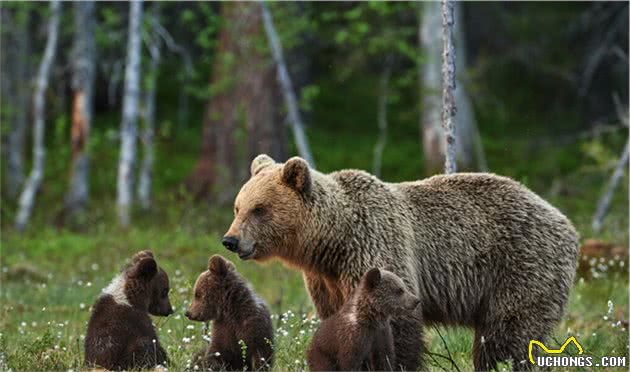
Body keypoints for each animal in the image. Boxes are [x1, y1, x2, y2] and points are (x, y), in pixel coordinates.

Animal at [223, 154, 584, 370]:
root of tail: (566, 222)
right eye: (238, 207)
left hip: (522, 266)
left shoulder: (374, 245)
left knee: (509, 333)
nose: (231, 240)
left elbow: (396, 322)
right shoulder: (326, 280)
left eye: (259, 208)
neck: (330, 242)